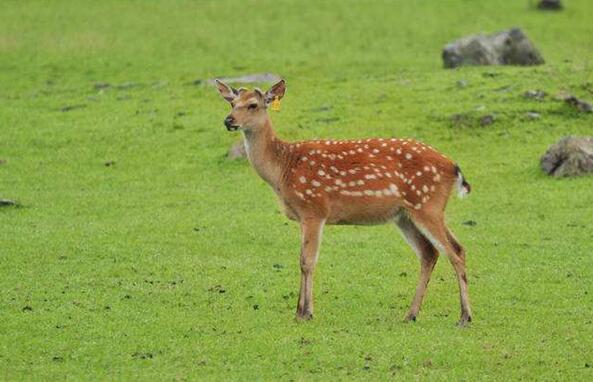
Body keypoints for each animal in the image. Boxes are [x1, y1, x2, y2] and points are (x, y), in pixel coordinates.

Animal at [216, 79, 472, 326]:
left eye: (253, 105)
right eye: (232, 103)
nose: (229, 121)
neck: (283, 169)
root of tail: (453, 167)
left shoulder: (314, 209)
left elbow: (307, 261)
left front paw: (306, 313)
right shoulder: (303, 216)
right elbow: (301, 259)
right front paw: (299, 312)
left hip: (427, 204)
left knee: (454, 251)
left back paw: (464, 317)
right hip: (406, 215)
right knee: (432, 252)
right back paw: (411, 314)